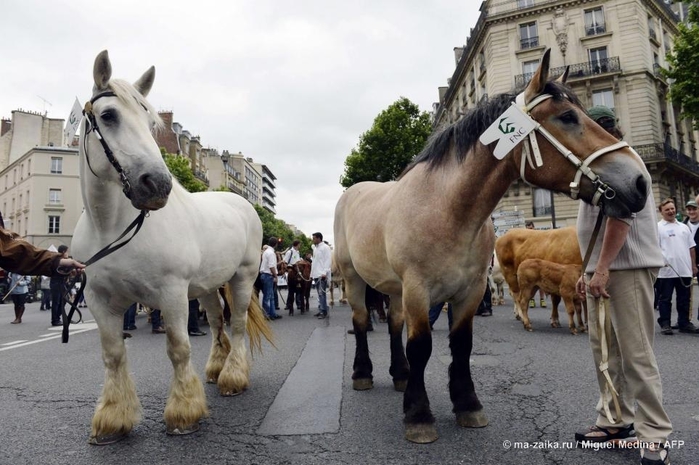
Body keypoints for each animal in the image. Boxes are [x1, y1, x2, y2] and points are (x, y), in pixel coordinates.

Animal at [72, 49, 274, 442]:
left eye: (151, 123)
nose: (158, 184)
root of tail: (241, 203)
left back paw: (233, 377)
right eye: (108, 115)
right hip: (208, 287)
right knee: (216, 322)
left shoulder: (172, 294)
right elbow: (113, 353)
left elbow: (179, 348)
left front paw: (184, 412)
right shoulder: (99, 300)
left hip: (242, 278)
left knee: (237, 323)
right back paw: (215, 368)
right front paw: (113, 418)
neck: (110, 228)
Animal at [334, 49, 652, 444]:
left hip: (393, 288)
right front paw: (419, 415)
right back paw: (363, 373)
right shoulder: (419, 291)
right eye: (567, 117)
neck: (447, 210)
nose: (640, 182)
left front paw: (467, 405)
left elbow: (462, 345)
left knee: (393, 326)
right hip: (354, 279)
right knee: (362, 320)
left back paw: (400, 374)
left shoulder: (470, 291)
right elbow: (421, 346)